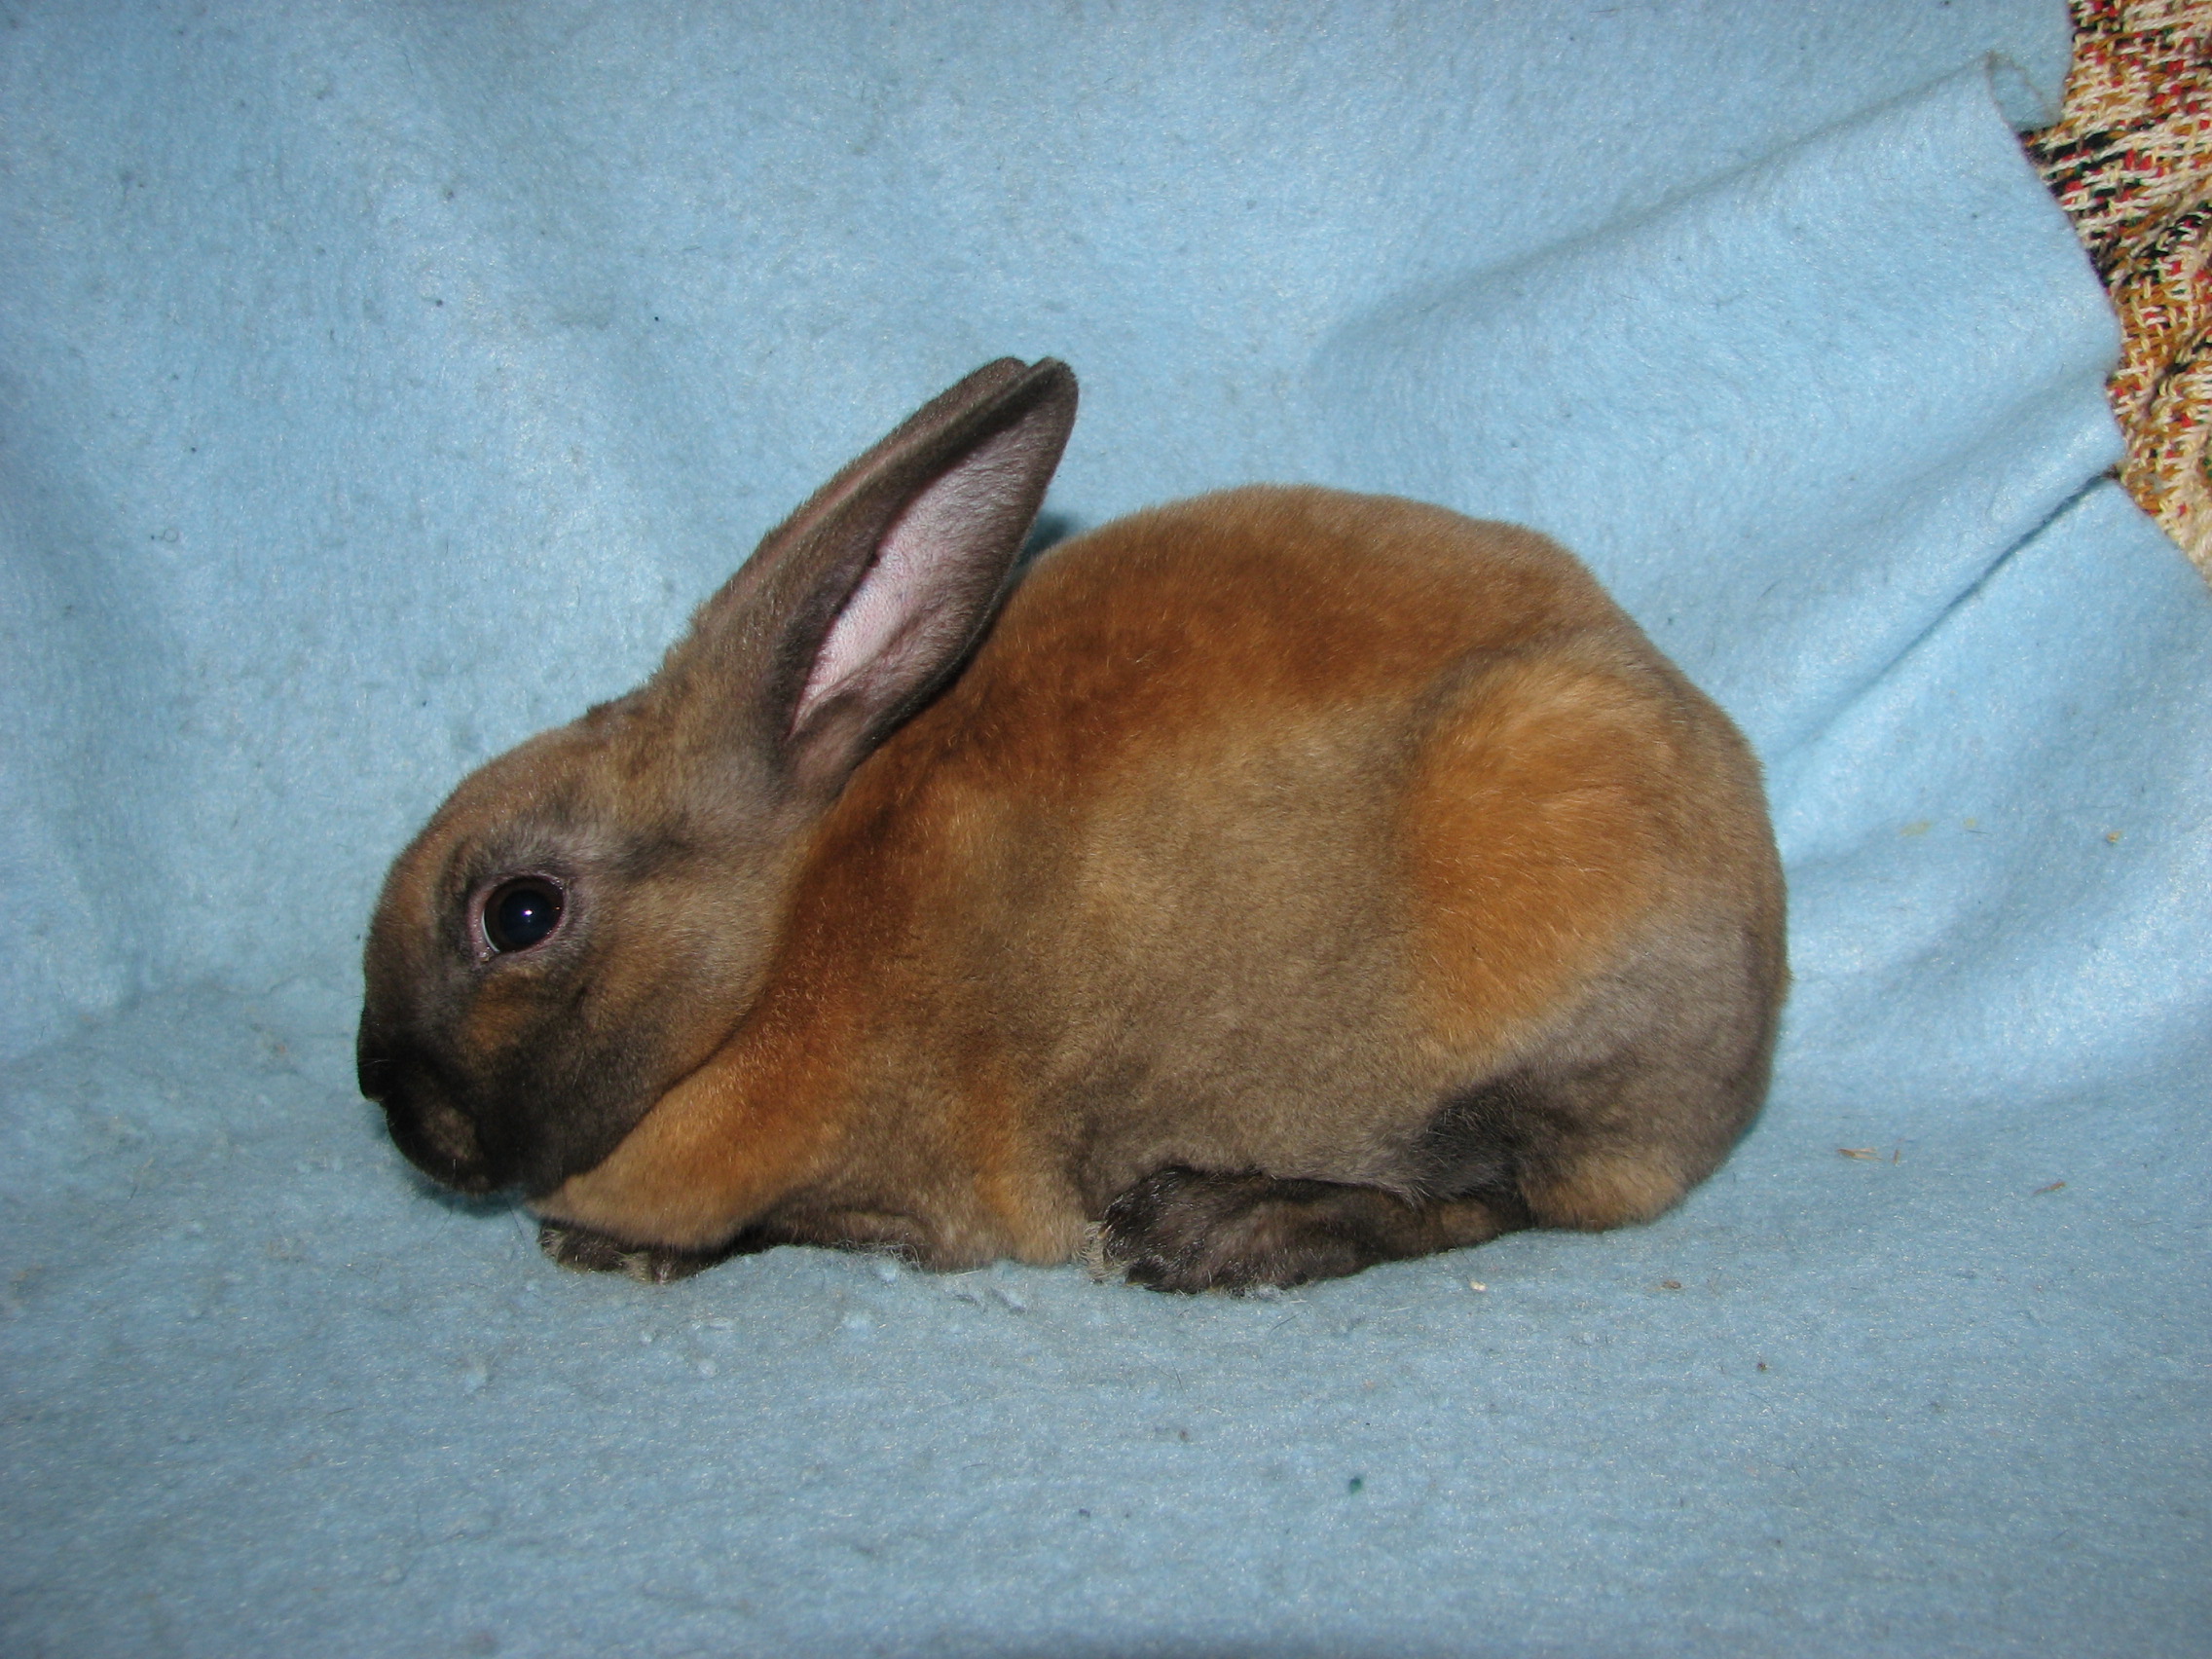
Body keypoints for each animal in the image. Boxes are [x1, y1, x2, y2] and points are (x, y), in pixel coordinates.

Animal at [358, 357, 1786, 1292]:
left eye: (519, 913)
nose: (387, 1102)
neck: (769, 970)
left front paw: (607, 1246)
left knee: (1505, 1194)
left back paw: (1222, 1230)